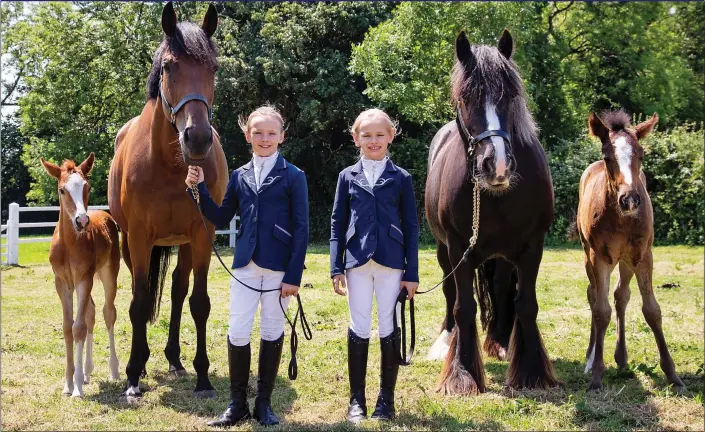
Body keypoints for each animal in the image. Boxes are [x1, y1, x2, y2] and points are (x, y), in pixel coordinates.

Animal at [40, 153, 120, 398]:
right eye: (62, 190)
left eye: (87, 187)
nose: (82, 221)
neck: (68, 245)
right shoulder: (62, 283)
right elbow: (69, 327)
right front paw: (68, 384)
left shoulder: (84, 278)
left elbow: (78, 328)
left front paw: (76, 389)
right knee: (91, 313)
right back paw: (86, 372)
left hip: (108, 273)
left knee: (107, 313)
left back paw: (114, 370)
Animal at [108, 2, 228, 398]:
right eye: (168, 67)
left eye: (213, 68)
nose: (198, 138)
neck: (170, 164)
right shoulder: (139, 237)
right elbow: (139, 301)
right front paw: (132, 375)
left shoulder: (203, 233)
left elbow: (199, 303)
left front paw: (204, 377)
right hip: (131, 244)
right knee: (143, 293)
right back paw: (143, 364)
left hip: (186, 242)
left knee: (177, 290)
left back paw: (175, 359)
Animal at [424, 29, 560, 394]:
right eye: (464, 98)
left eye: (511, 95)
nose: (495, 165)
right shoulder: (458, 246)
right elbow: (463, 305)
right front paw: (461, 373)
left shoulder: (532, 246)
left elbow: (525, 304)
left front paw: (531, 371)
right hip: (444, 249)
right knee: (449, 292)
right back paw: (446, 340)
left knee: (500, 289)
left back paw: (499, 342)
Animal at [576, 109, 684, 392]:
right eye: (607, 157)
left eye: (642, 155)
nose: (631, 200)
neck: (621, 219)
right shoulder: (599, 258)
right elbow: (601, 311)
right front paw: (596, 376)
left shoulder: (643, 255)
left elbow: (652, 311)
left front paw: (672, 374)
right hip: (589, 255)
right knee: (594, 295)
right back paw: (591, 357)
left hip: (626, 261)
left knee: (620, 295)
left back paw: (622, 357)